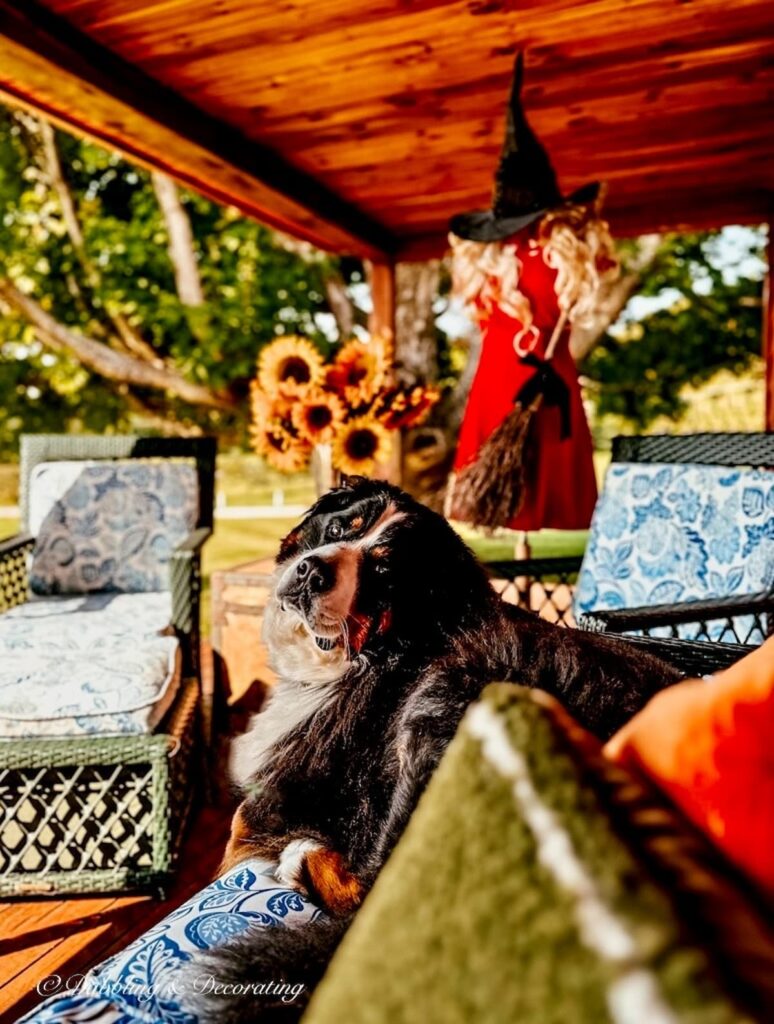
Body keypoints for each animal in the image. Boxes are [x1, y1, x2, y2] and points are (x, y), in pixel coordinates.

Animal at [190, 475, 679, 1019]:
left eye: (383, 571)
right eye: (339, 528)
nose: (311, 571)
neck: (380, 656)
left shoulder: (289, 790)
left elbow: (239, 828)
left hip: (446, 698)